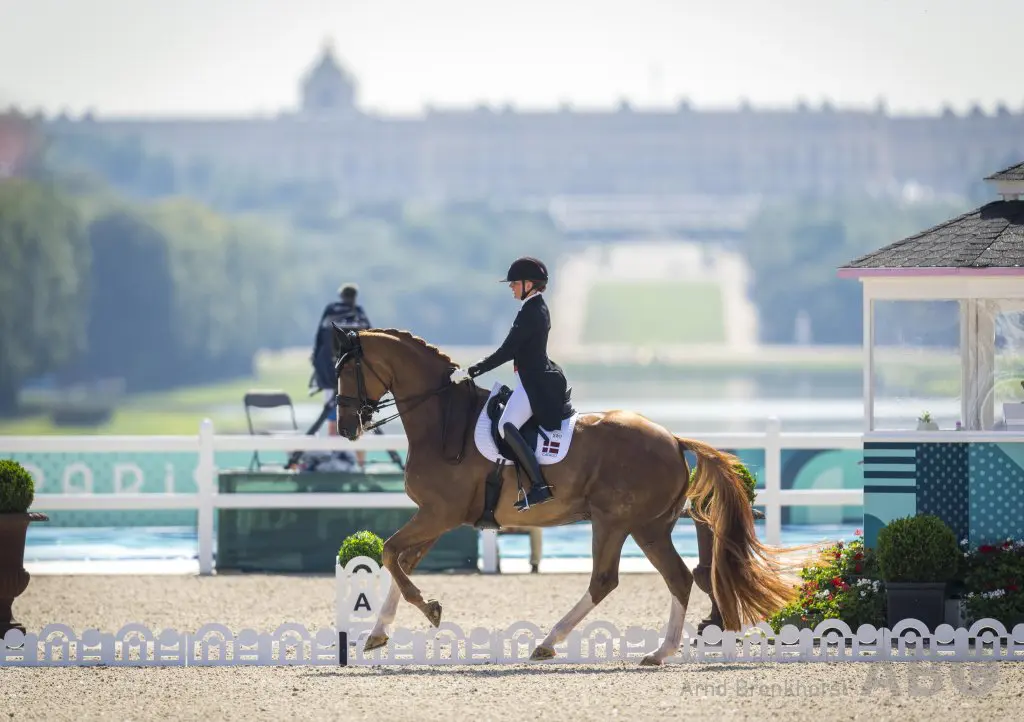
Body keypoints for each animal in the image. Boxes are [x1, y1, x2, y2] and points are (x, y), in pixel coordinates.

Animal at [332, 326, 800, 666]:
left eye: (346, 371)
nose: (347, 427)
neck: (443, 419)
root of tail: (672, 439)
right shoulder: (437, 516)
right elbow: (401, 561)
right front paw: (378, 633)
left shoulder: (439, 514)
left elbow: (391, 554)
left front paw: (429, 609)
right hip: (650, 527)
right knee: (680, 578)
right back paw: (660, 651)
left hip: (615, 522)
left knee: (607, 579)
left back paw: (551, 641)